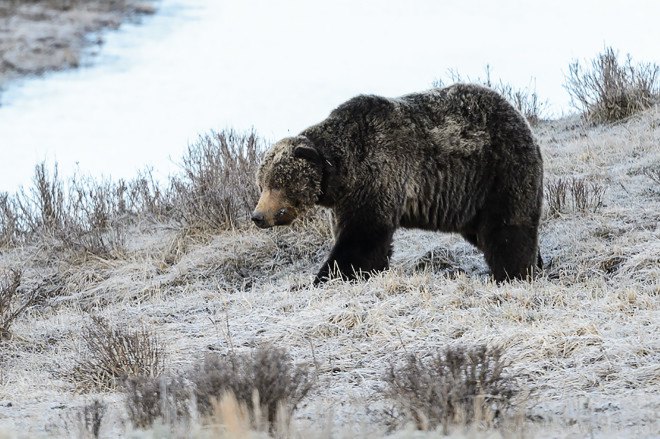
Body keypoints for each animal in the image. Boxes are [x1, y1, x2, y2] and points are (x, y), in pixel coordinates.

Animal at [252, 83, 544, 284]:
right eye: (261, 184)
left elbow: (362, 237)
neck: (340, 174)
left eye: (278, 183)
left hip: (497, 172)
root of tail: (521, 119)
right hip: (471, 201)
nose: (258, 216)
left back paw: (515, 273)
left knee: (507, 228)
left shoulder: (378, 175)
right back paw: (537, 264)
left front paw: (325, 278)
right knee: (485, 232)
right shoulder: (345, 199)